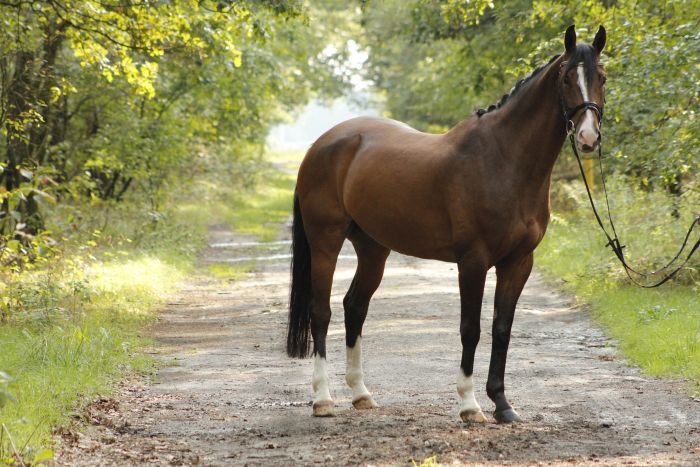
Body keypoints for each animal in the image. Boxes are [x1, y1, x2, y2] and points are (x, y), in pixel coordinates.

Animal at [286, 25, 607, 423]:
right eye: (566, 78)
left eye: (602, 77)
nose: (588, 137)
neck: (503, 159)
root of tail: (322, 145)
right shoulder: (473, 261)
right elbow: (471, 329)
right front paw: (470, 405)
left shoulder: (519, 262)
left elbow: (502, 329)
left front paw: (503, 405)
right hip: (325, 242)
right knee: (321, 312)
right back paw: (323, 399)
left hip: (373, 249)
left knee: (354, 307)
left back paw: (361, 394)